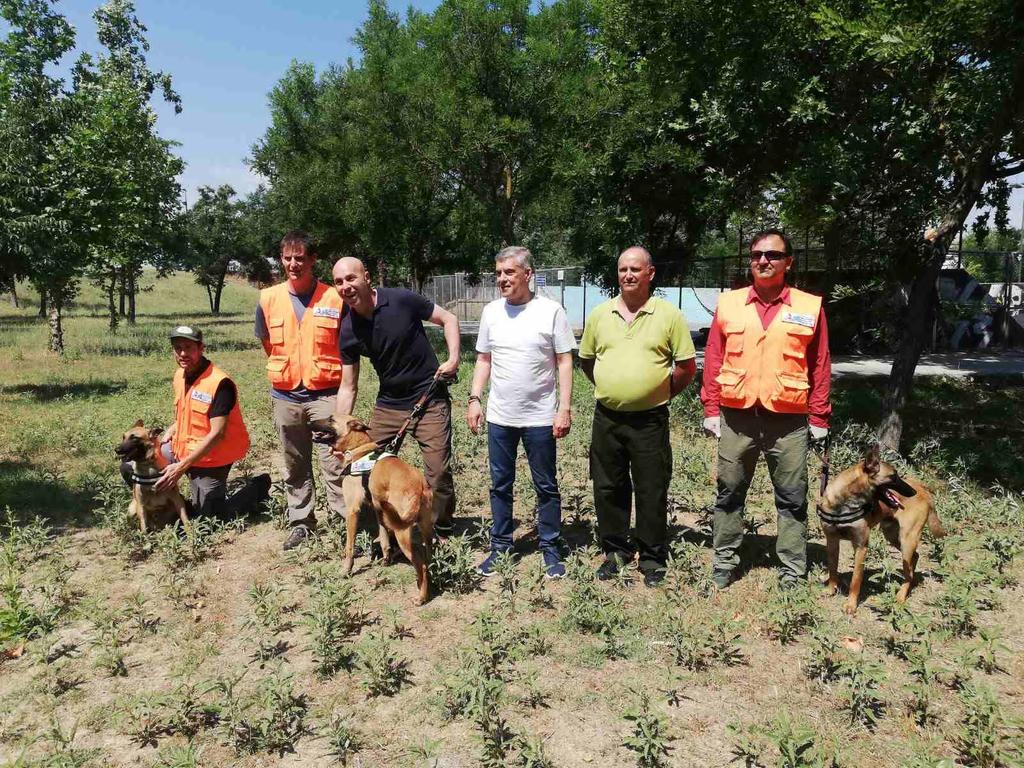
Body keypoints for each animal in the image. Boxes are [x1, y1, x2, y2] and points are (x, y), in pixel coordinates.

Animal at [317, 415, 434, 606]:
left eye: (331, 419)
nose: (309, 422)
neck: (358, 450)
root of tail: (420, 486)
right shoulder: (379, 510)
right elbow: (384, 537)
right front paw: (386, 560)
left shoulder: (352, 510)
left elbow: (349, 546)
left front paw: (346, 570)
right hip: (424, 529)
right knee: (428, 558)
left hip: (403, 534)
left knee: (421, 565)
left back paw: (421, 597)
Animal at [819, 448, 946, 618]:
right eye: (893, 476)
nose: (912, 492)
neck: (844, 503)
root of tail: (923, 489)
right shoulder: (832, 540)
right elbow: (833, 569)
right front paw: (830, 590)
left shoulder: (861, 547)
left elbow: (855, 580)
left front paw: (851, 605)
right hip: (893, 536)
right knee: (915, 558)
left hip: (907, 540)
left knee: (909, 567)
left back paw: (901, 595)